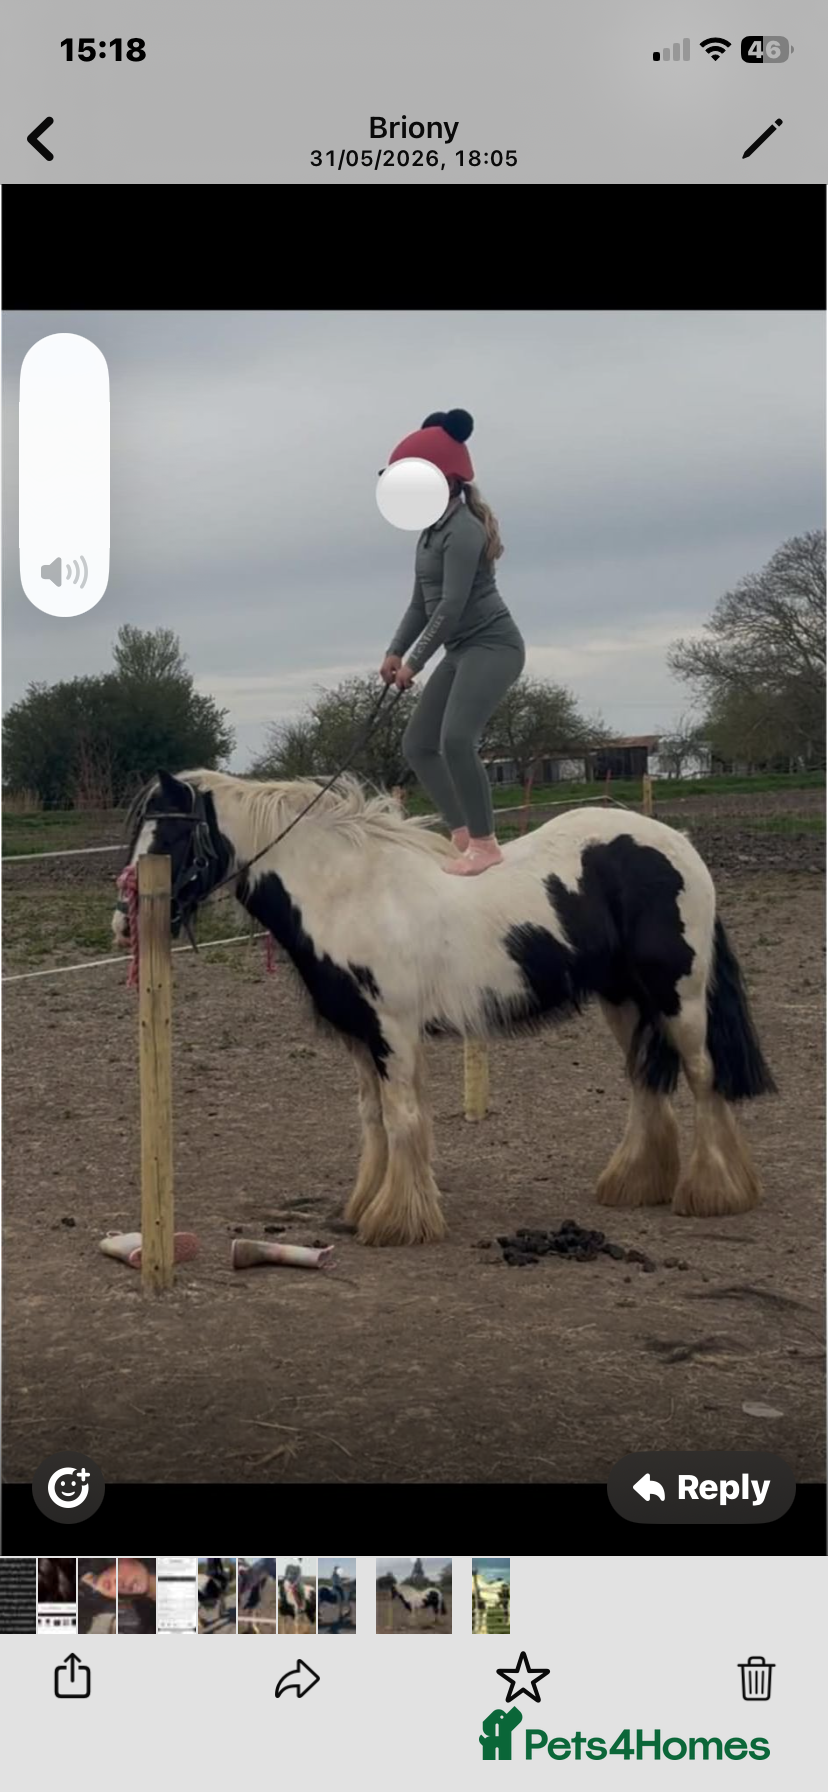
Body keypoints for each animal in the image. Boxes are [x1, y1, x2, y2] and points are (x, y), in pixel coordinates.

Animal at [113, 767, 776, 1248]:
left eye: (170, 836)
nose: (124, 923)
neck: (351, 891)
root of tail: (676, 844)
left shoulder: (393, 1033)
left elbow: (403, 1119)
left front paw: (397, 1222)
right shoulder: (361, 1036)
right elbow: (374, 1119)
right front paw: (365, 1205)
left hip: (677, 996)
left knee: (703, 1076)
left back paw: (714, 1192)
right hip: (624, 1000)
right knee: (646, 1081)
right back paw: (634, 1183)